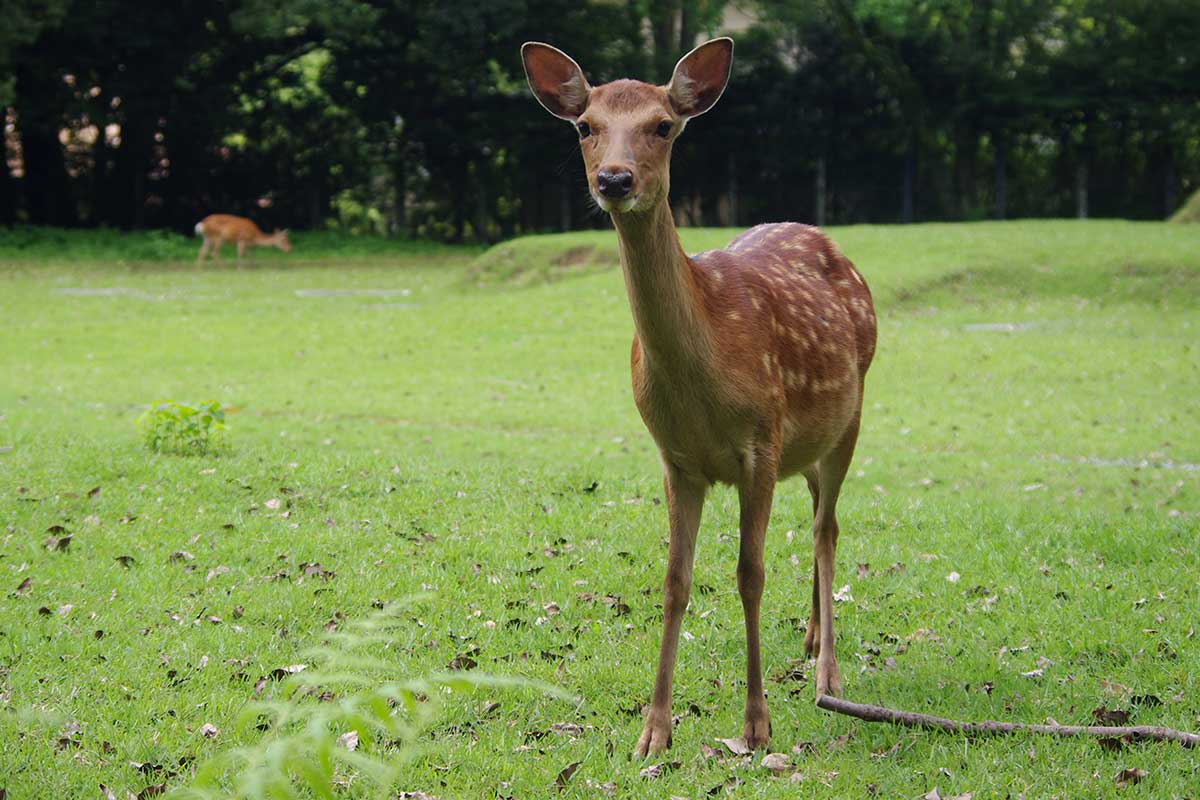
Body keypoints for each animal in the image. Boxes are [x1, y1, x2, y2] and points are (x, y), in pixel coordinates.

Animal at [520, 37, 878, 758]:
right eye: (585, 126)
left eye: (664, 125)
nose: (615, 180)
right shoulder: (676, 459)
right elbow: (675, 582)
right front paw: (653, 731)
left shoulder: (760, 442)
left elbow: (749, 574)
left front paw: (755, 724)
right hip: (809, 438)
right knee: (816, 512)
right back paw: (810, 638)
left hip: (851, 412)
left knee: (827, 528)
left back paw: (828, 671)